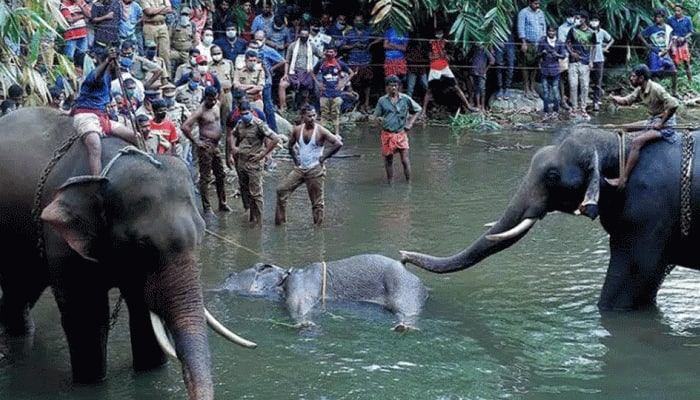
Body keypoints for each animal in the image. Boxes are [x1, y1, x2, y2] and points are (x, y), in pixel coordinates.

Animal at [0, 107, 256, 400]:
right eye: (141, 246)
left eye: (201, 235)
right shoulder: (61, 241)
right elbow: (87, 317)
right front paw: (92, 382)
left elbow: (143, 311)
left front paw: (150, 371)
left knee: (23, 289)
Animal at [224, 255, 430, 330]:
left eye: (231, 275)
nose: (227, 275)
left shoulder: (301, 284)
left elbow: (299, 304)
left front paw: (305, 324)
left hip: (404, 286)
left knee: (407, 309)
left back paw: (404, 327)